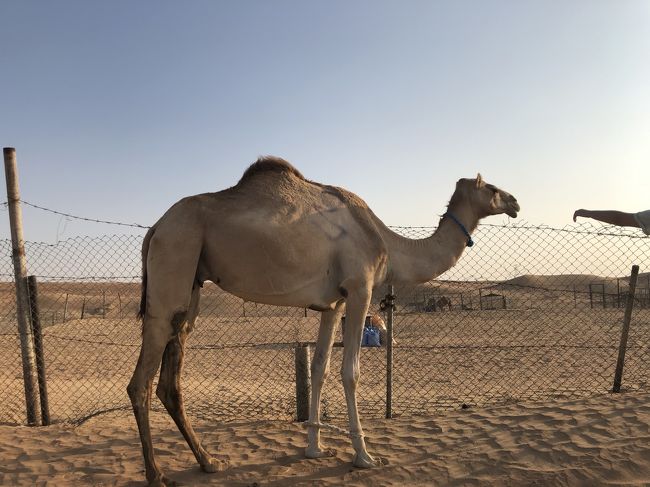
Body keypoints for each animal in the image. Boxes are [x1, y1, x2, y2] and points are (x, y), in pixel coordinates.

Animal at [126, 157, 516, 487]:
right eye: (492, 188)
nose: (515, 202)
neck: (385, 243)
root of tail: (155, 228)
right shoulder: (360, 289)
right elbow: (350, 372)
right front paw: (363, 455)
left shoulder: (333, 303)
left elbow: (319, 368)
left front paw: (314, 448)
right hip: (175, 254)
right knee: (141, 382)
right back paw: (156, 474)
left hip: (191, 281)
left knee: (171, 373)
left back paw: (209, 462)